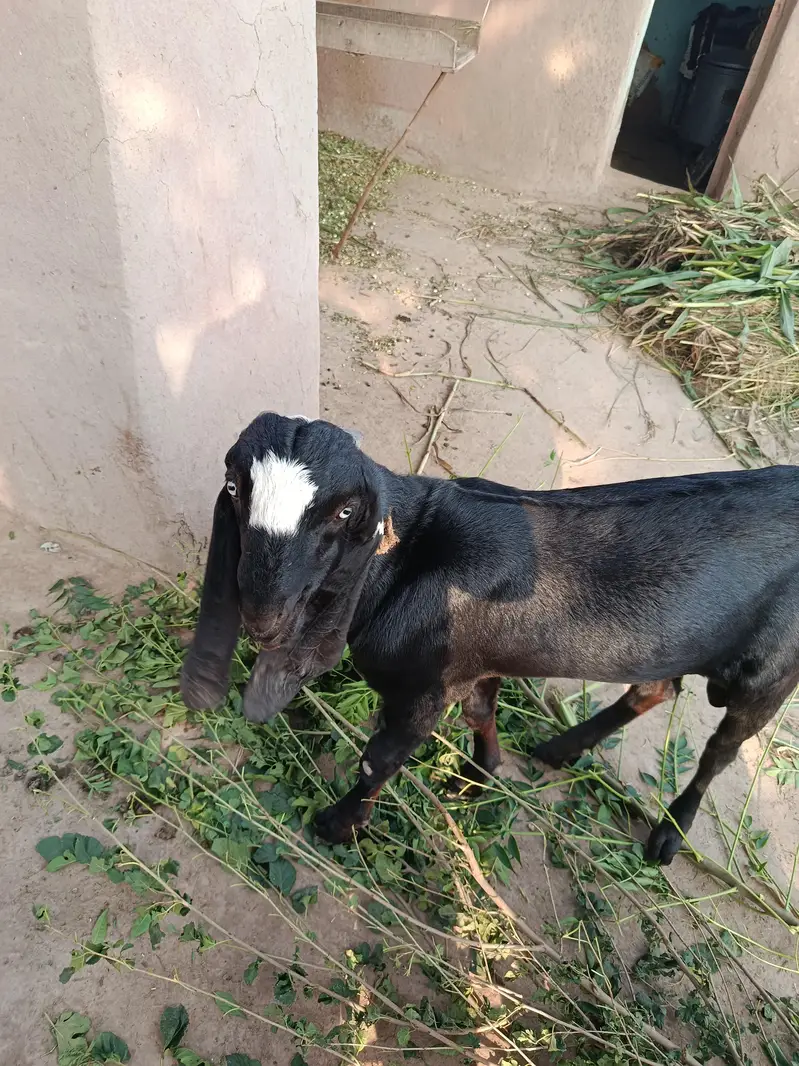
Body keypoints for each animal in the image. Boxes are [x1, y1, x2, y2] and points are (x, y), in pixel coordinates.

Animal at [181, 411, 799, 864]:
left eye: (346, 510)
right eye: (234, 486)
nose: (263, 616)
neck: (405, 559)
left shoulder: (425, 690)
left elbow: (380, 759)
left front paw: (338, 825)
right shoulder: (474, 665)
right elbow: (480, 712)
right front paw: (479, 776)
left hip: (769, 676)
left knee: (722, 748)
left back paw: (671, 832)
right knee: (656, 689)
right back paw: (561, 748)